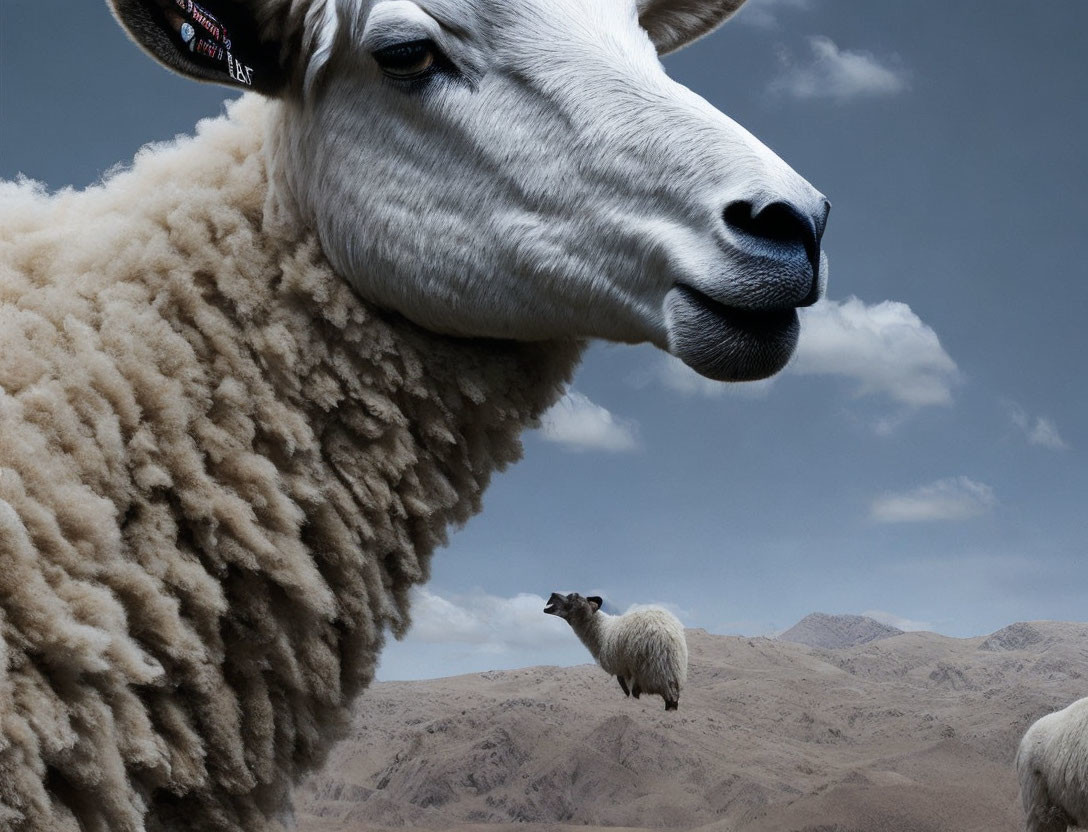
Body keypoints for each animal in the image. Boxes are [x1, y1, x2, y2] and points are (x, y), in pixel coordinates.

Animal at [544, 591, 687, 709]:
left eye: (573, 597)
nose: (552, 595)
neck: (602, 631)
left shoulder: (622, 668)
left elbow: (626, 687)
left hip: (651, 671)